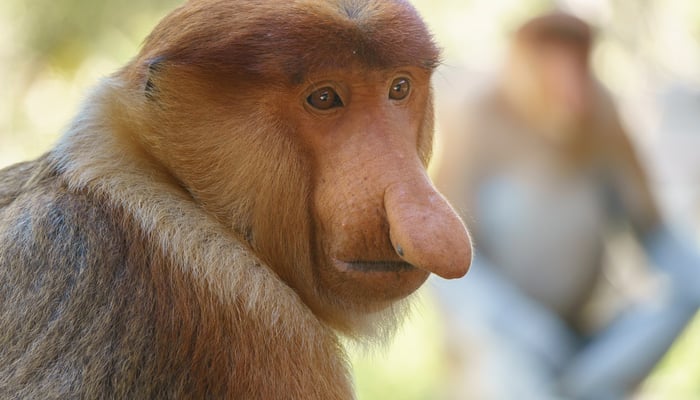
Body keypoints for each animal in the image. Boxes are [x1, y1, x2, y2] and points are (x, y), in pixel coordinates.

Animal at [431, 12, 700, 400]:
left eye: (578, 51)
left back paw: (591, 382)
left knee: (671, 301)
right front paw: (541, 341)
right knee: (498, 346)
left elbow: (652, 229)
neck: (536, 118)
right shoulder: (471, 121)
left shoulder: (607, 110)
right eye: (551, 51)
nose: (573, 82)